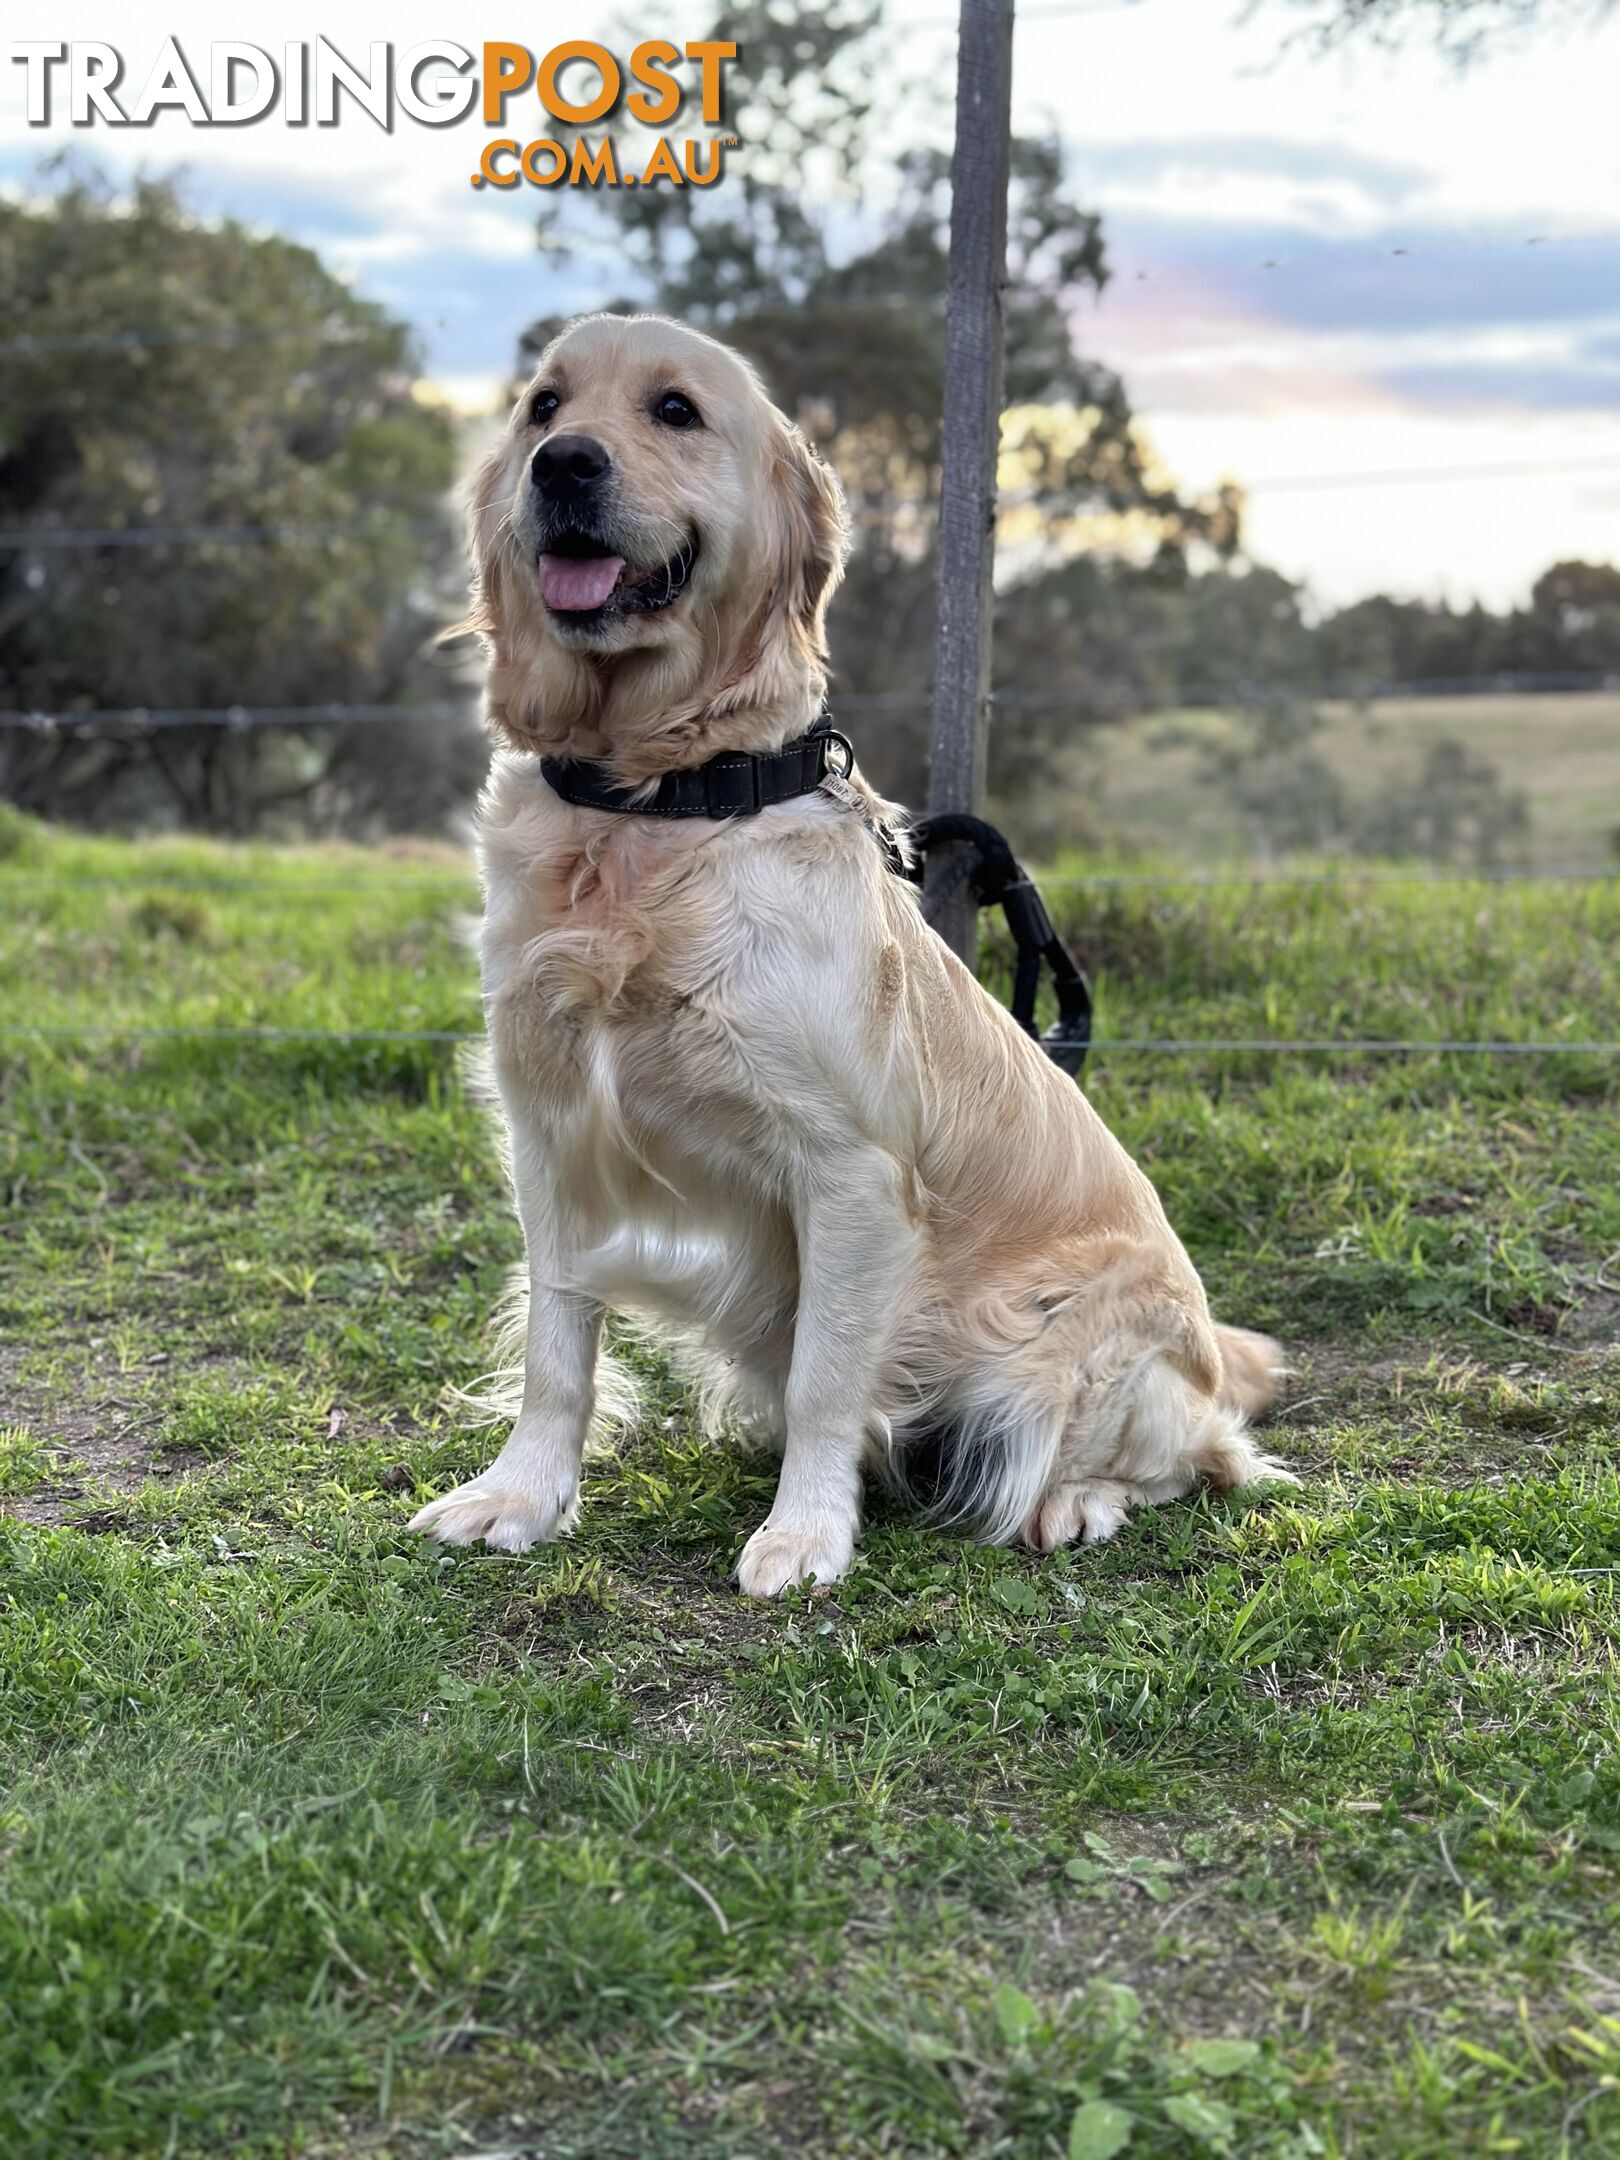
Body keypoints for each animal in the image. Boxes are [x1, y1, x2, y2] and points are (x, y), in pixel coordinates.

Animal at [414, 313, 1296, 1598]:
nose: (564, 464)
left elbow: (829, 1377)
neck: (659, 799)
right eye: (544, 405)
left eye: (675, 410)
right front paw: (520, 1497)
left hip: (1061, 1352)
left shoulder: (849, 1173)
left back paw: (1077, 1501)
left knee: (1198, 1453)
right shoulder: (551, 1136)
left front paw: (805, 1532)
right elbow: (556, 1345)